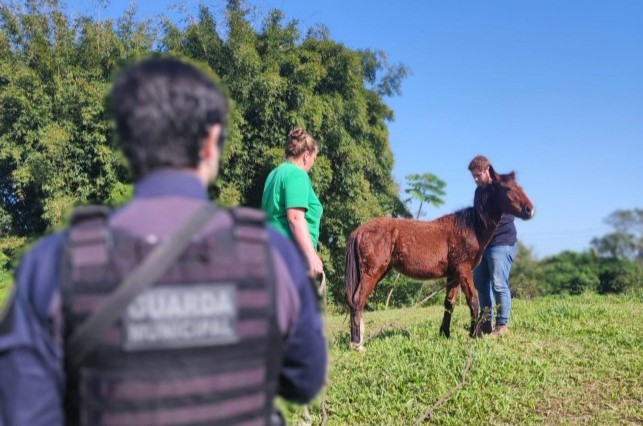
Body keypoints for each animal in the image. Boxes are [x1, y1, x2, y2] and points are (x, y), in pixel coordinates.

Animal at [344, 166, 536, 350]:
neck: (470, 227)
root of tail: (359, 231)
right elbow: (473, 300)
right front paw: (476, 334)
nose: (530, 210)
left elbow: (449, 303)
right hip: (373, 272)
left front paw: (445, 333)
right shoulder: (463, 270)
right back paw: (357, 344)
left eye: (520, 186)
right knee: (358, 300)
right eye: (507, 188)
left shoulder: (453, 275)